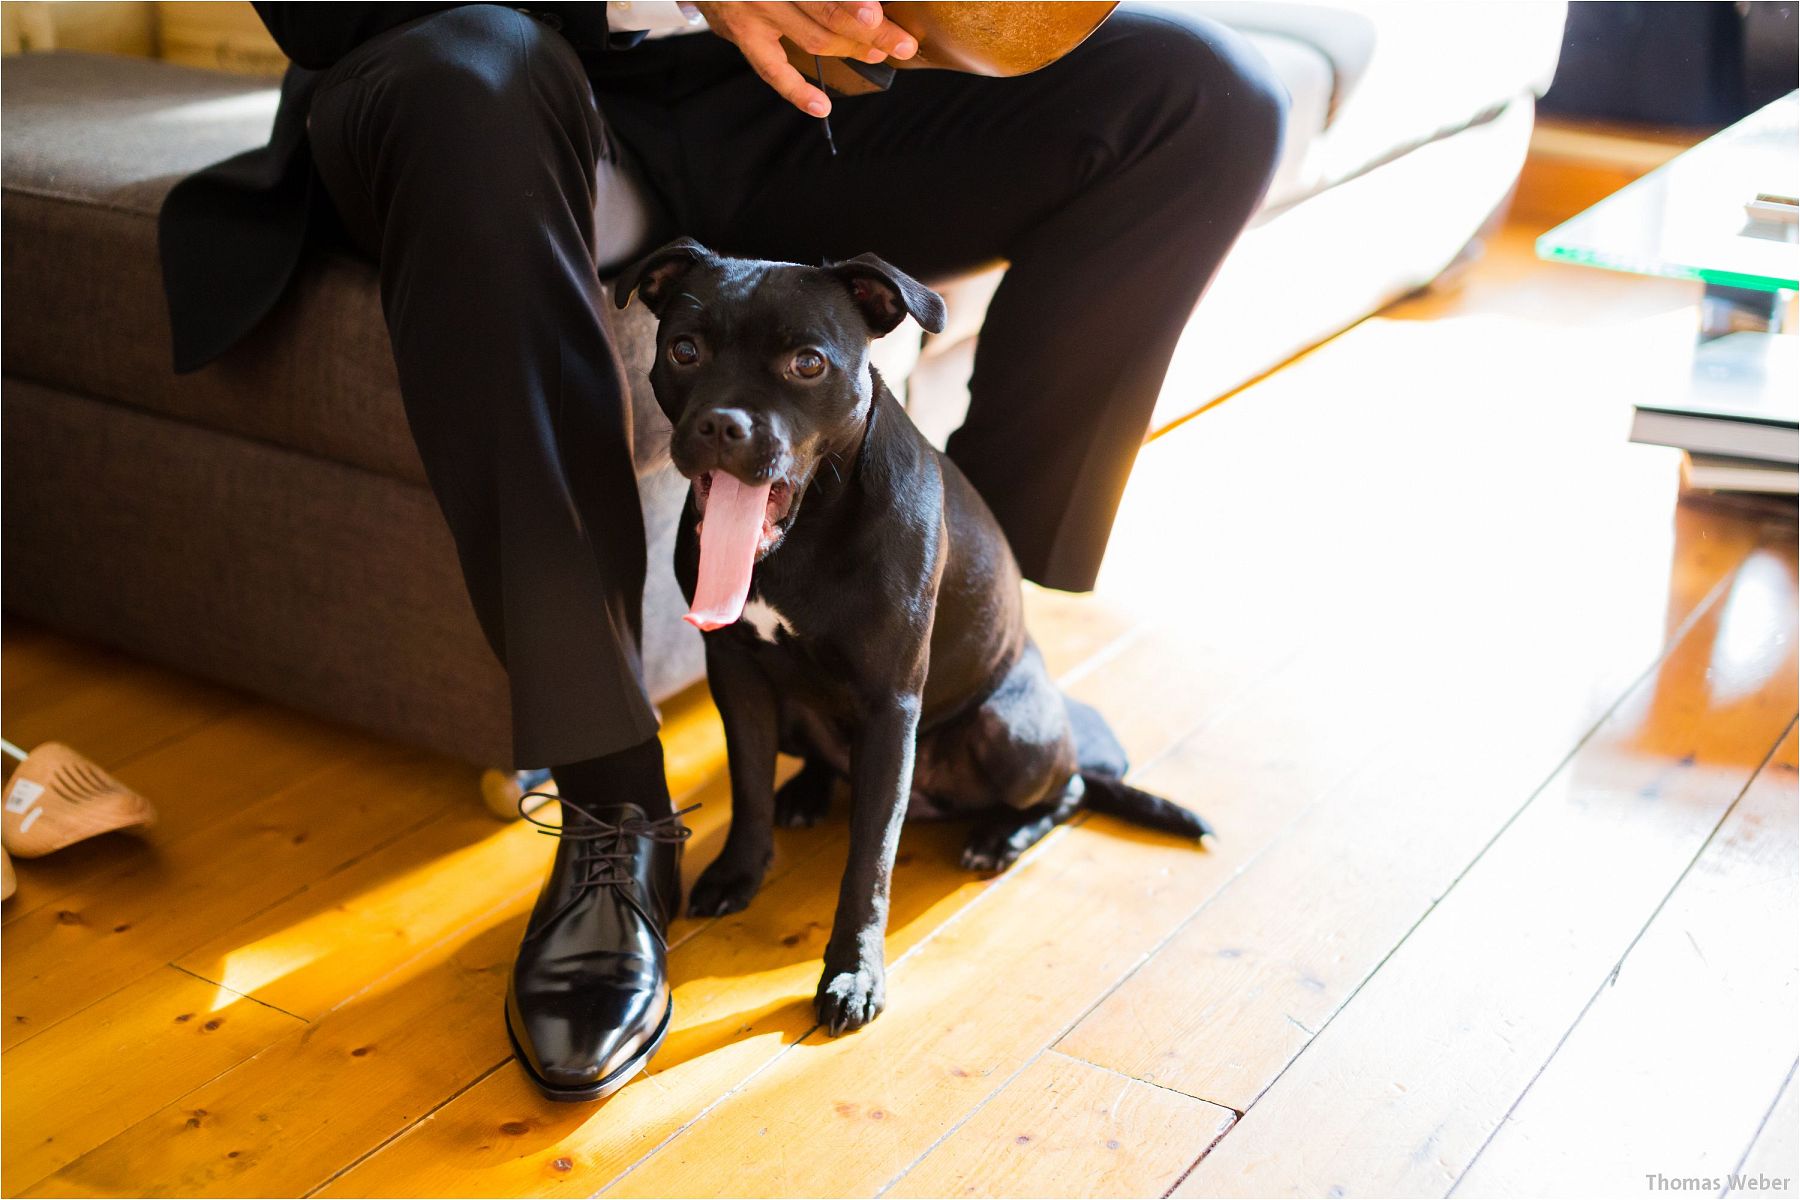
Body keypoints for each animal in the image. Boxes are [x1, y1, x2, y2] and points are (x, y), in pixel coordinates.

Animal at [615, 239, 1209, 1036]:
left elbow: (870, 858)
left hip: (1011, 732)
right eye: (684, 349)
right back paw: (809, 791)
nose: (720, 426)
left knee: (1071, 783)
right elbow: (748, 789)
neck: (802, 535)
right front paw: (741, 871)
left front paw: (853, 973)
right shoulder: (735, 673)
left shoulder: (892, 706)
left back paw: (1000, 837)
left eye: (809, 363)